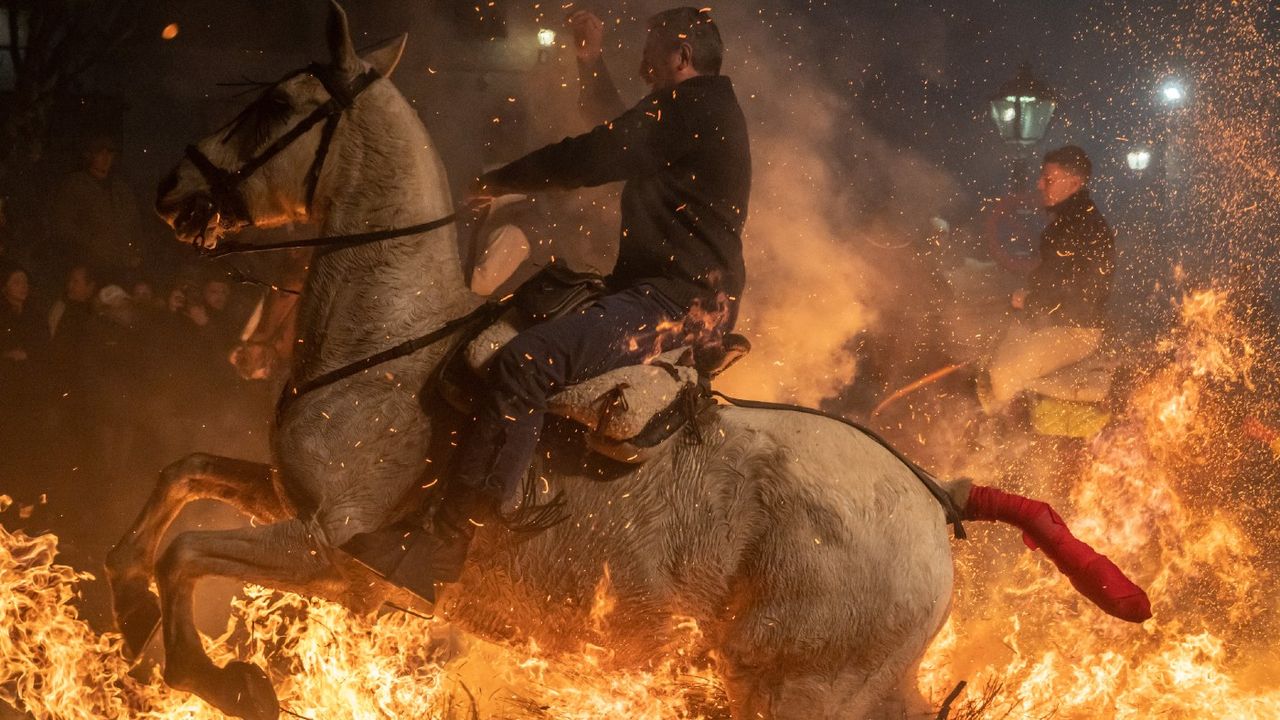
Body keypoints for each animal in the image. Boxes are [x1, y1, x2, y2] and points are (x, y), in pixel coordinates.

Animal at [102, 4, 1141, 712]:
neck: (392, 337)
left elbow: (187, 551)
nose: (171, 192)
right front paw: (130, 608)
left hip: (800, 689)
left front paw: (218, 676)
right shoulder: (286, 502)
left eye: (276, 102)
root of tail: (936, 494)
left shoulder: (329, 550)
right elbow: (176, 483)